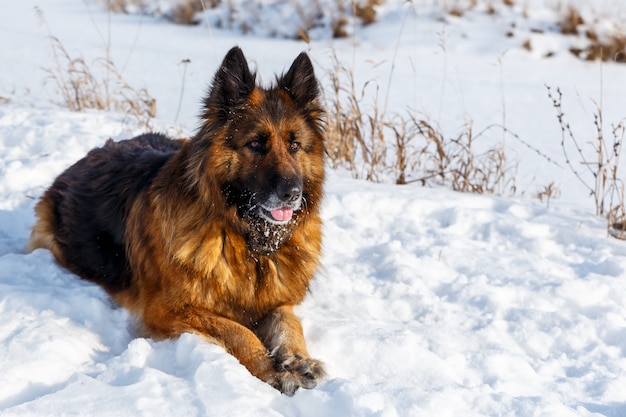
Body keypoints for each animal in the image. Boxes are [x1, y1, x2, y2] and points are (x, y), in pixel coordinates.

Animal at [26, 47, 326, 394]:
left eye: (295, 146)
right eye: (255, 144)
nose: (292, 193)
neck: (244, 239)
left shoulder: (275, 301)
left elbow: (290, 322)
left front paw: (297, 359)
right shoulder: (167, 310)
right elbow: (239, 331)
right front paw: (270, 369)